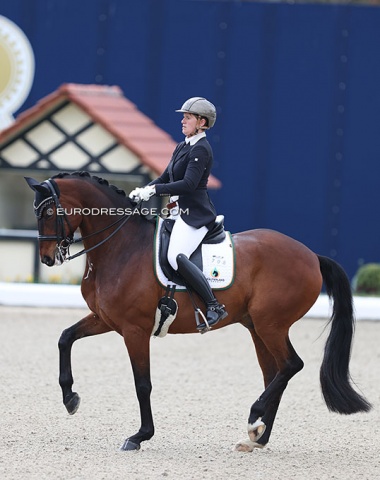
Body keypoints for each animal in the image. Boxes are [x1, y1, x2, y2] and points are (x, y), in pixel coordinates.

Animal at [26, 174, 372, 452]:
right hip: (258, 327)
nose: (46, 258)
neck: (121, 248)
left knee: (291, 365)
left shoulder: (135, 329)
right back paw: (256, 437)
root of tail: (311, 255)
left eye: (48, 211)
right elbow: (65, 338)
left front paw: (140, 436)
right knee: (275, 373)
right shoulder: (106, 320)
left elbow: (142, 384)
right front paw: (70, 398)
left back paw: (254, 418)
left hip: (271, 324)